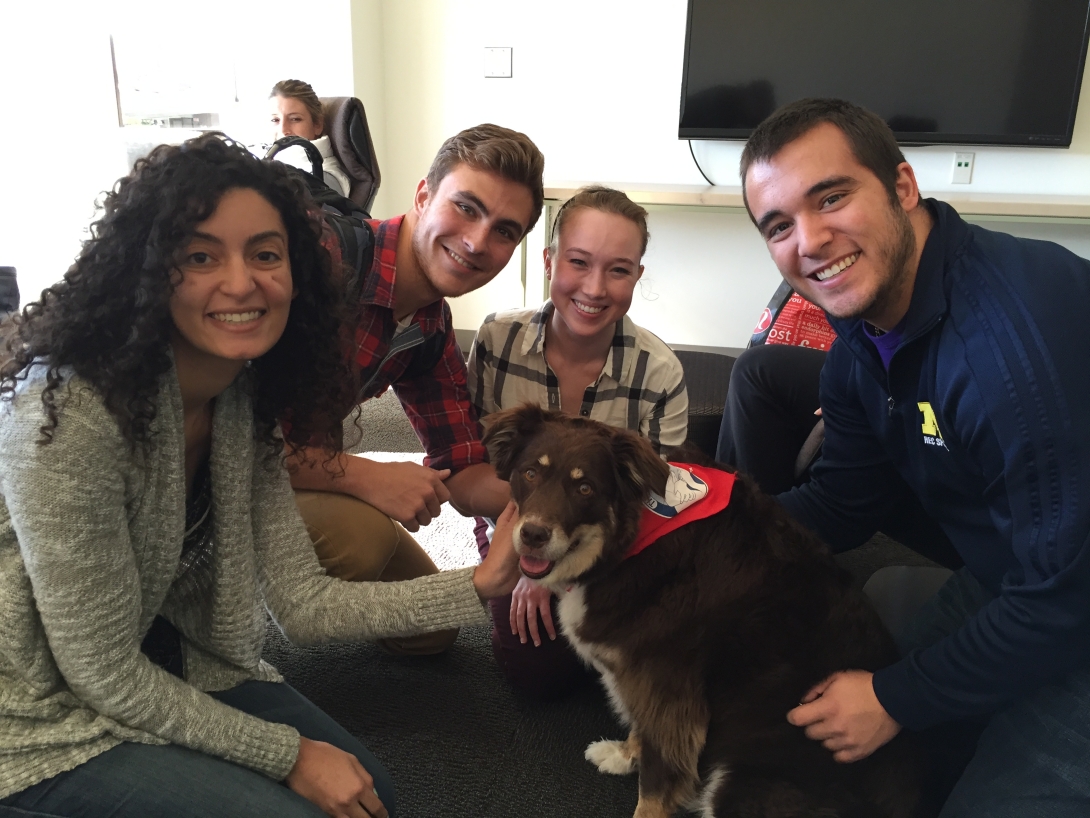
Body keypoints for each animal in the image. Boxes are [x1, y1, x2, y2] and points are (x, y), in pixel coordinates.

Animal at [486, 407, 928, 818]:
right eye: (530, 473)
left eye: (585, 488)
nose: (533, 535)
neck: (636, 537)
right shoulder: (648, 685)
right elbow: (643, 732)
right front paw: (624, 755)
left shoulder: (669, 689)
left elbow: (656, 782)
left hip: (740, 785)